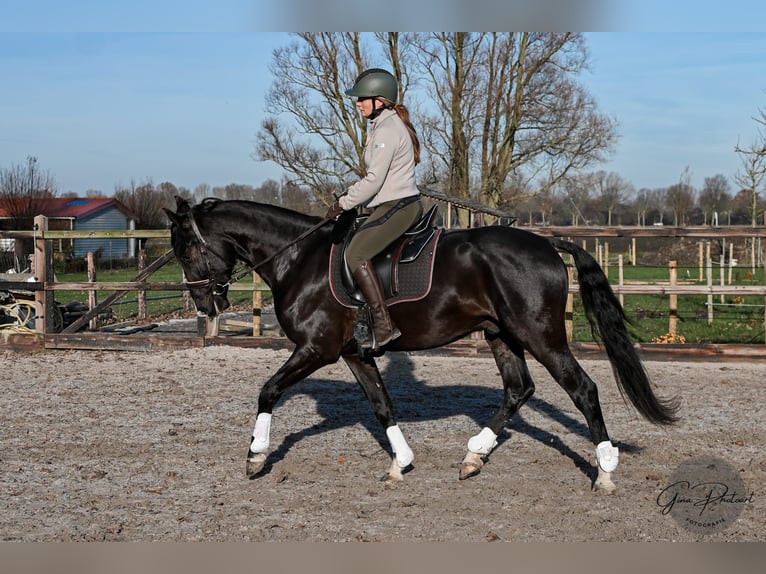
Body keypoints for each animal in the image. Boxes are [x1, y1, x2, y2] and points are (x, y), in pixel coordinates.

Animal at [164, 197, 680, 490]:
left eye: (186, 248)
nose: (205, 304)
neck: (300, 258)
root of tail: (546, 243)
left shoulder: (316, 350)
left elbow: (268, 391)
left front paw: (256, 456)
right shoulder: (353, 354)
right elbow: (382, 405)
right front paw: (400, 464)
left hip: (541, 336)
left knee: (583, 389)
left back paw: (605, 471)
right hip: (502, 335)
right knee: (519, 390)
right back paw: (474, 456)